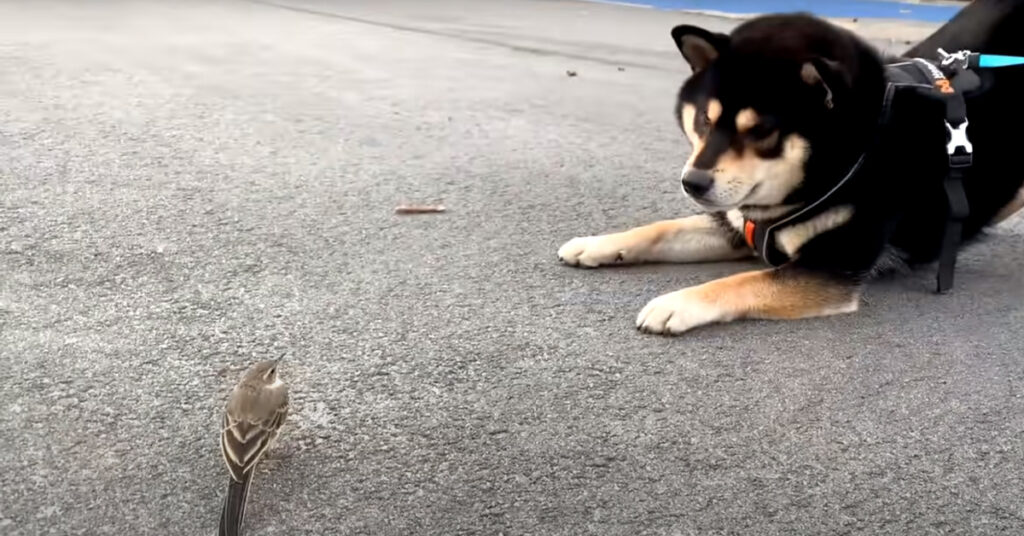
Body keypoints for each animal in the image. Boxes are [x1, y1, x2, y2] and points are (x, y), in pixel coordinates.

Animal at [561, 0, 1024, 336]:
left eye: (761, 131)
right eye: (706, 120)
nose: (692, 183)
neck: (857, 152)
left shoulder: (831, 266)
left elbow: (742, 282)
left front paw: (678, 302)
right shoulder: (741, 226)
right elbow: (660, 230)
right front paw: (596, 244)